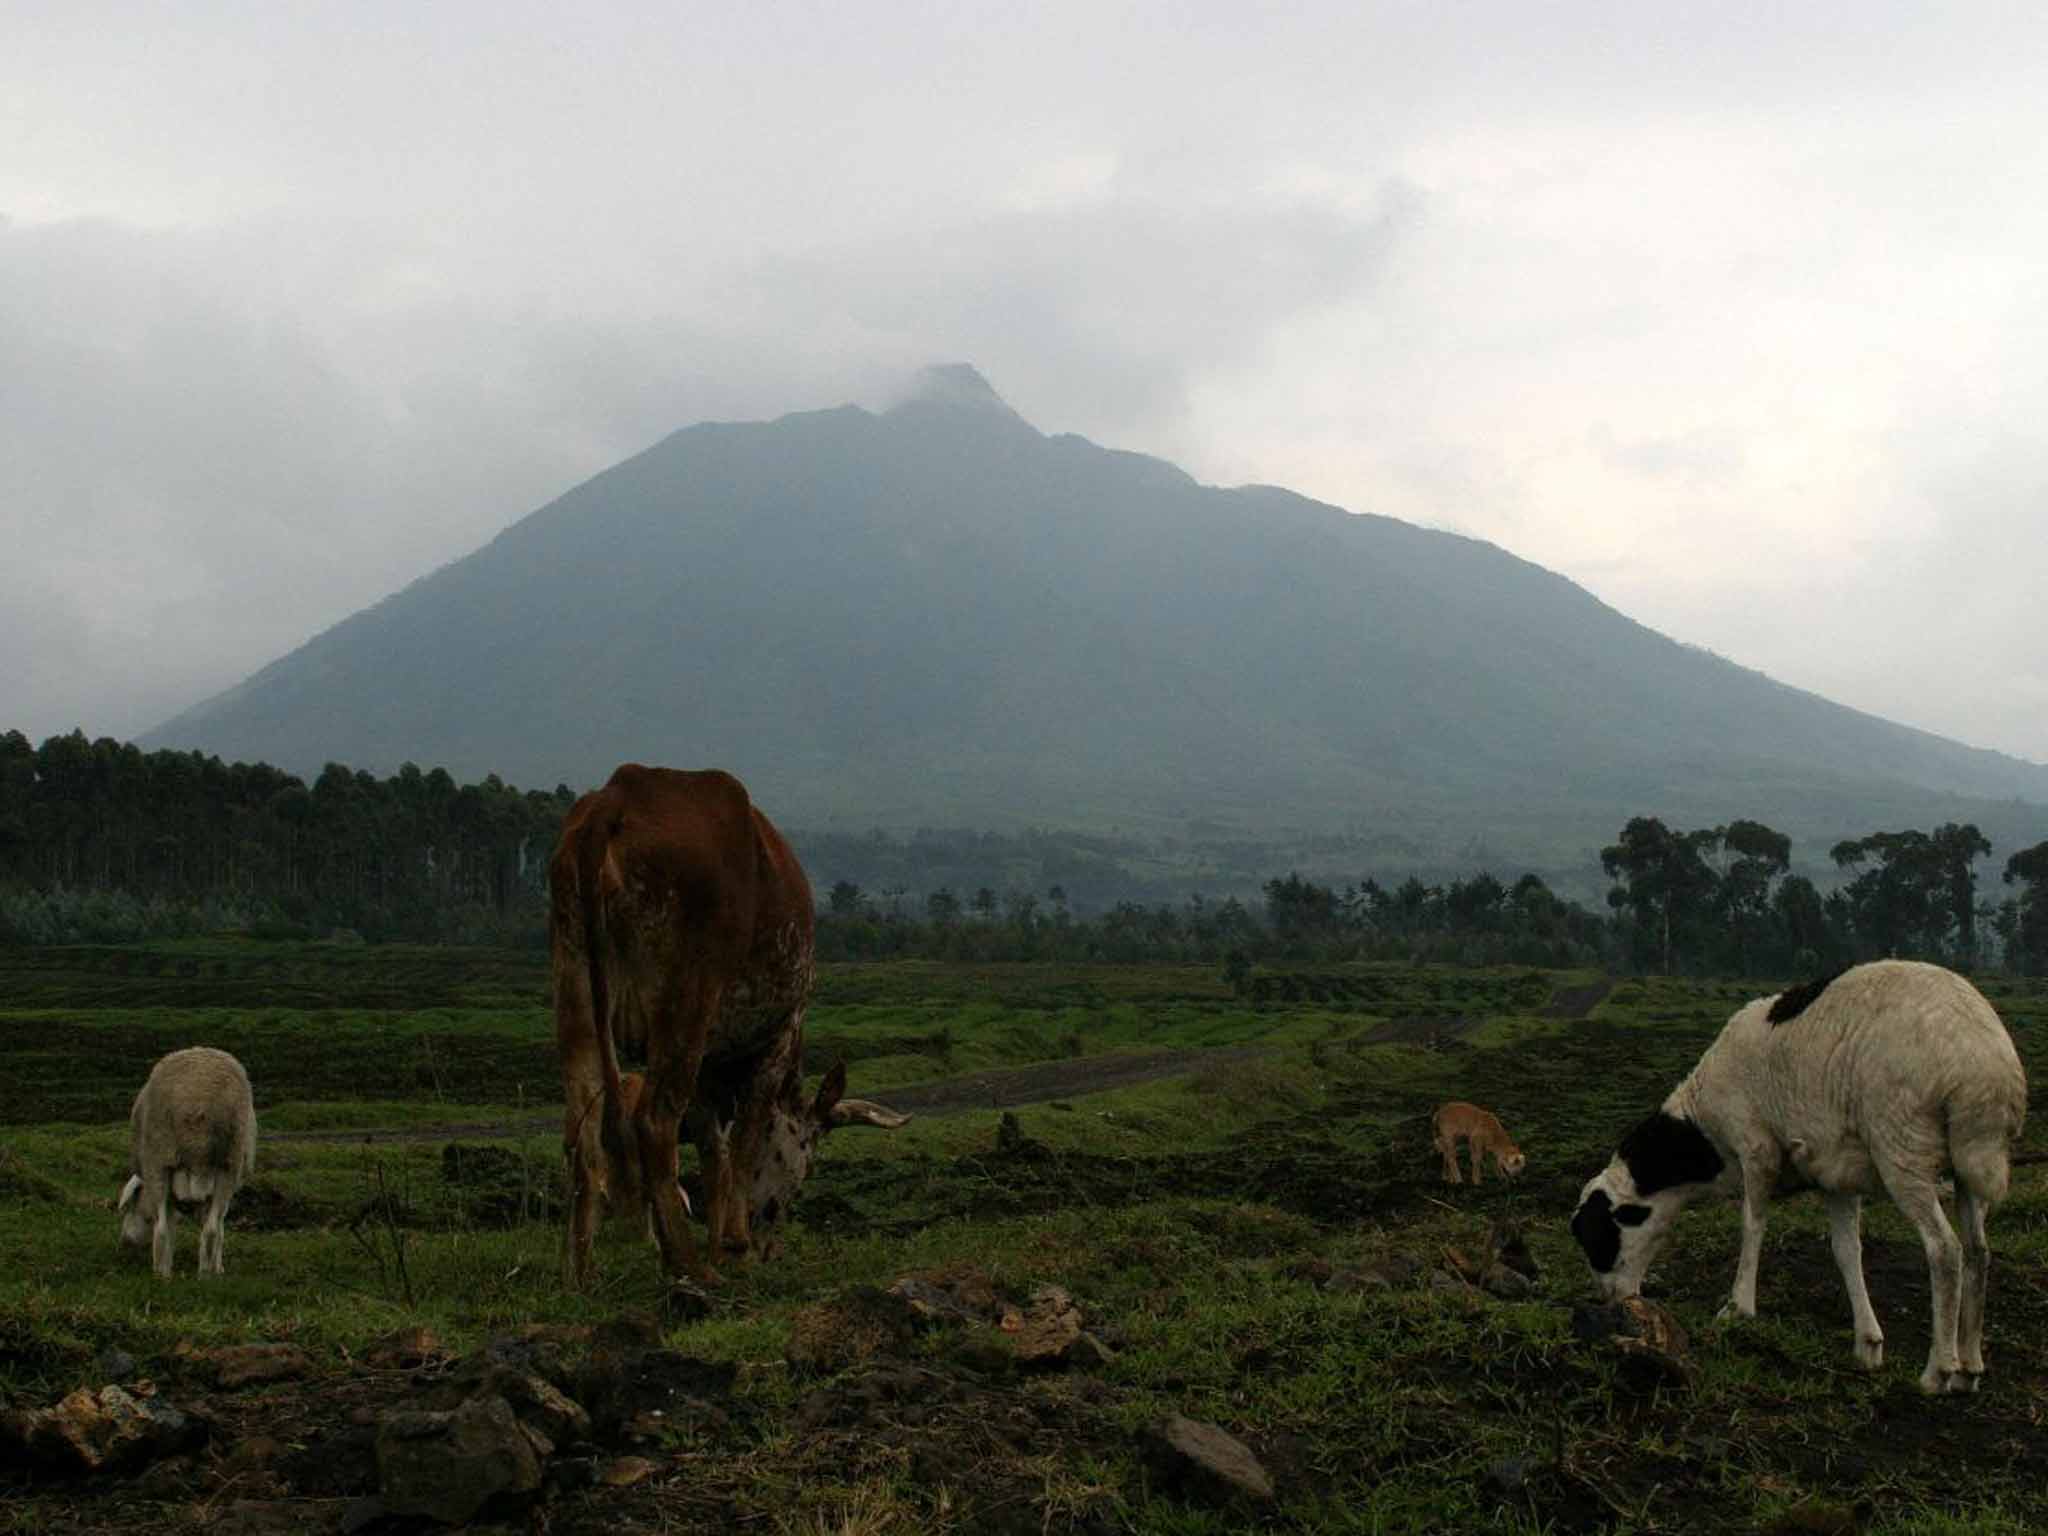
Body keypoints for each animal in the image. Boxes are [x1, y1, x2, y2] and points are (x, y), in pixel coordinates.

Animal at [117, 1048, 256, 1286]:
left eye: (130, 1207)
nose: (125, 1242)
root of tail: (197, 1101)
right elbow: (216, 1226)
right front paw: (217, 1268)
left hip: (158, 1160)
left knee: (162, 1228)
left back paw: (161, 1274)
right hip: (228, 1165)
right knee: (211, 1229)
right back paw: (204, 1275)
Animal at [552, 765, 905, 1286]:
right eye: (806, 1159)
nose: (768, 1244)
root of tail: (617, 799)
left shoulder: (711, 1062)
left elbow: (713, 1149)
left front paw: (722, 1241)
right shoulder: (777, 1036)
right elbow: (743, 1137)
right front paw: (732, 1246)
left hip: (573, 983)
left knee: (584, 1131)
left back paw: (581, 1272)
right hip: (686, 999)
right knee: (653, 1121)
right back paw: (688, 1264)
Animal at [1572, 966, 2023, 1400]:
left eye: (1601, 1237)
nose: (1610, 1303)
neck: (1706, 1139)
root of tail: (1987, 1069)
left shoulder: (1756, 1147)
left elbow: (1752, 1226)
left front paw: (1738, 1308)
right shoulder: (1837, 1173)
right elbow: (1846, 1251)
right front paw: (1867, 1343)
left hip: (1903, 1148)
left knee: (1945, 1251)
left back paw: (1938, 1372)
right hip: (1966, 1167)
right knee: (1978, 1252)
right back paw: (1969, 1369)